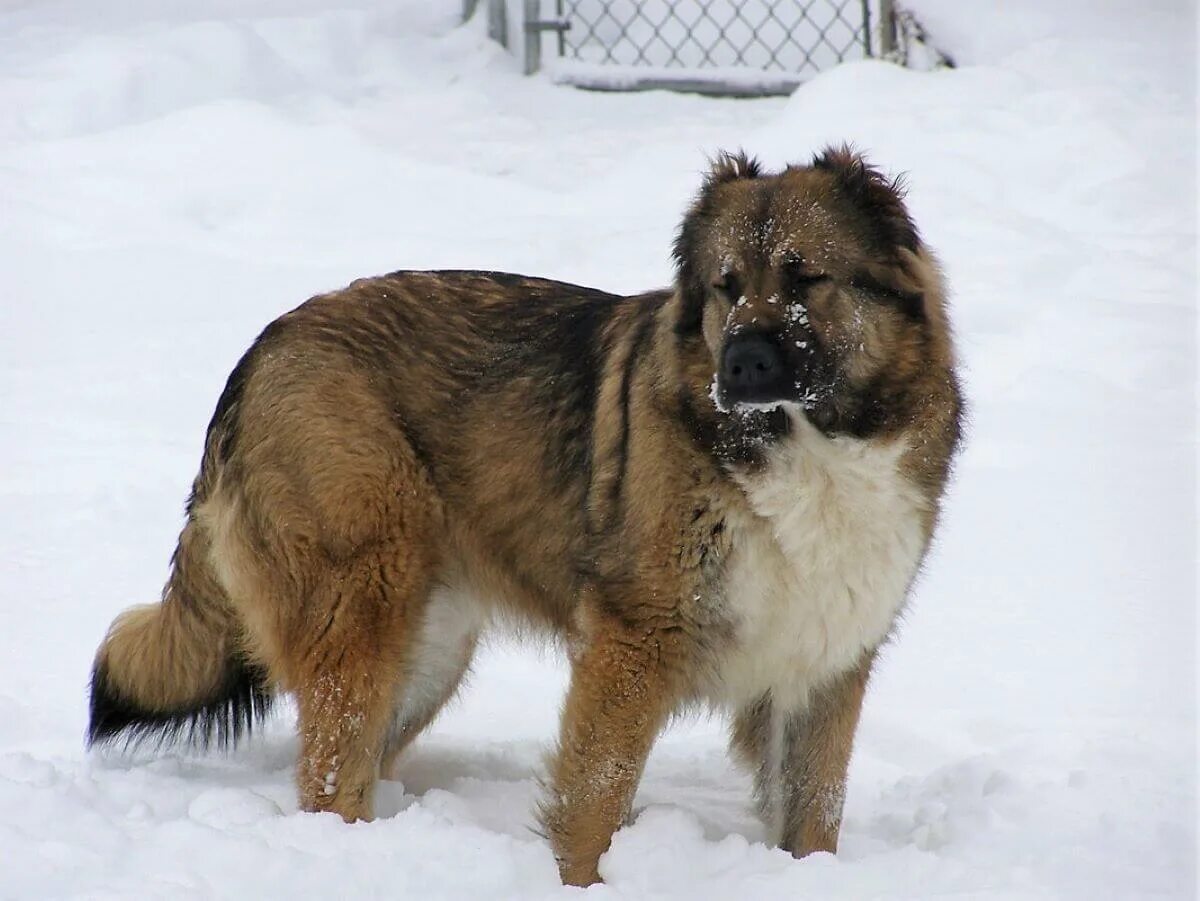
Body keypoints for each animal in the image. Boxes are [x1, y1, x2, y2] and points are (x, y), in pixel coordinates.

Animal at [87, 144, 964, 883]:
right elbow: (594, 801)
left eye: (805, 276)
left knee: (352, 762)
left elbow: (813, 814)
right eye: (726, 285)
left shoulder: (824, 666)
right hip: (365, 612)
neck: (804, 446)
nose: (740, 364)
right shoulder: (633, 645)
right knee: (329, 777)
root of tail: (262, 347)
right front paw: (579, 884)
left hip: (428, 649)